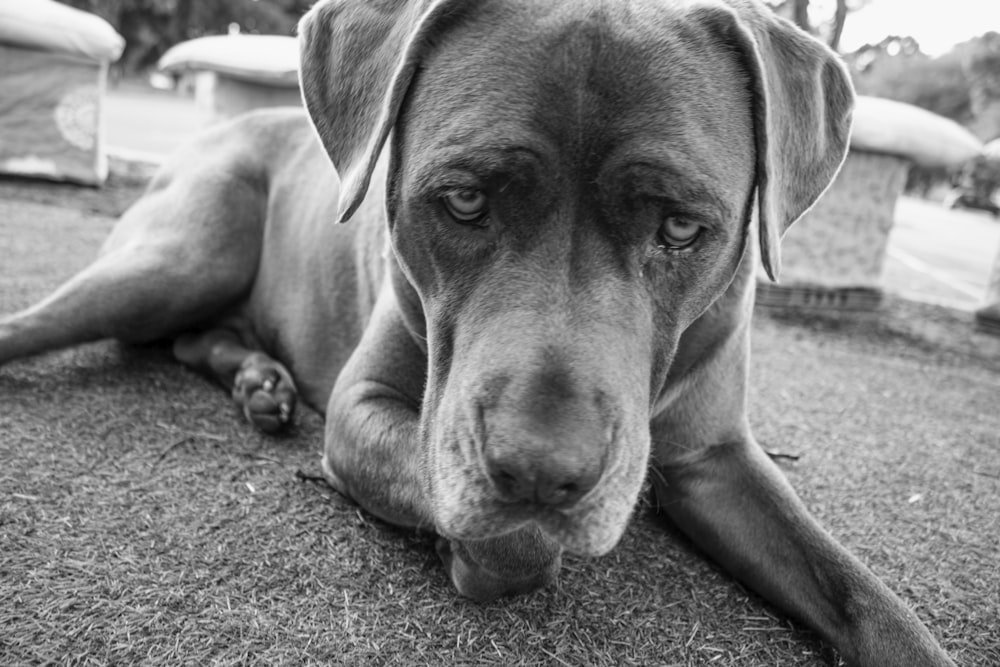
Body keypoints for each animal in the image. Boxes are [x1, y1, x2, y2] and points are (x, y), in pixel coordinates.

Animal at [0, 0, 952, 664]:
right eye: (462, 200)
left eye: (683, 227)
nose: (541, 468)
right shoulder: (364, 409)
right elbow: (489, 519)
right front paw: (487, 547)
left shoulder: (715, 458)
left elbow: (859, 589)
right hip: (175, 258)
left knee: (192, 339)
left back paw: (261, 383)